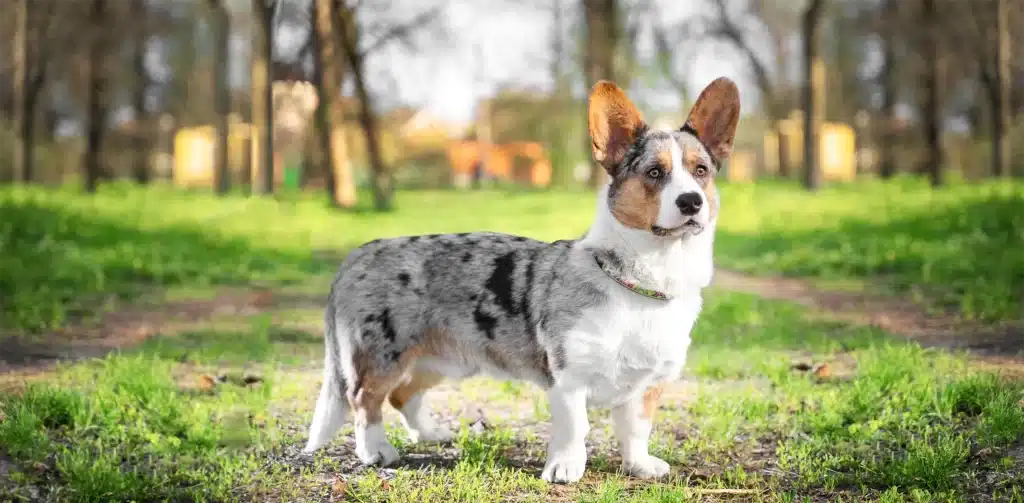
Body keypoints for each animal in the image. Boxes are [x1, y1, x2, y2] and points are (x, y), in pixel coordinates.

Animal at [299, 77, 741, 483]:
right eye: (654, 172)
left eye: (701, 171)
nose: (691, 202)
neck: (641, 281)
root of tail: (358, 255)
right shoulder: (569, 380)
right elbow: (575, 429)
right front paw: (565, 469)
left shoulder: (647, 385)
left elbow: (636, 431)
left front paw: (641, 467)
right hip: (382, 356)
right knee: (365, 400)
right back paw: (376, 451)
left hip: (441, 359)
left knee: (402, 395)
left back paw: (431, 434)